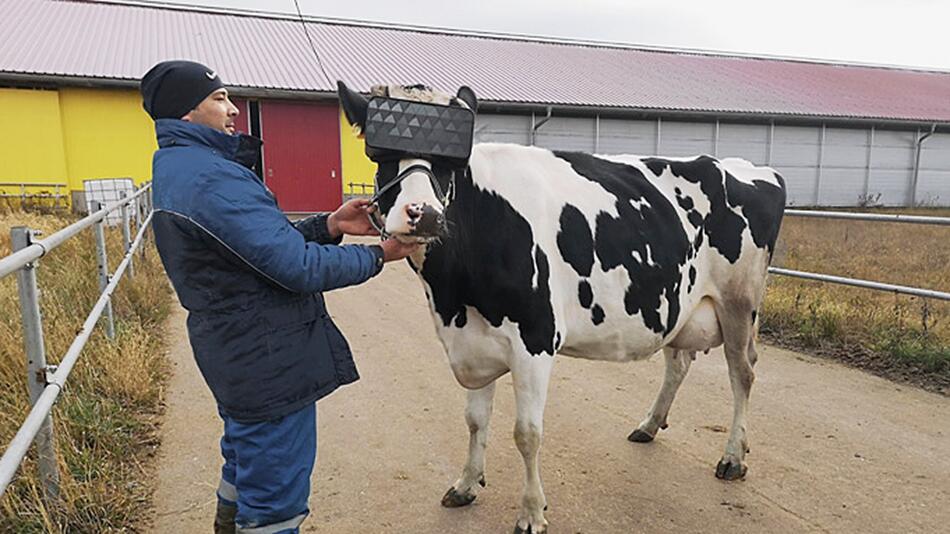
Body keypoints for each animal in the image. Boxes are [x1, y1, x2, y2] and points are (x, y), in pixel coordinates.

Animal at [338, 80, 784, 534]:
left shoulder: (534, 340)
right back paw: (648, 425)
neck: (453, 296)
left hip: (739, 302)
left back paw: (733, 457)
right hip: (679, 303)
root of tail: (753, 168)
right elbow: (475, 420)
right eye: (381, 157)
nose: (423, 214)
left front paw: (532, 513)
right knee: (678, 362)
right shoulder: (471, 342)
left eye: (450, 163)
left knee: (742, 373)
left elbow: (527, 433)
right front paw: (466, 484)